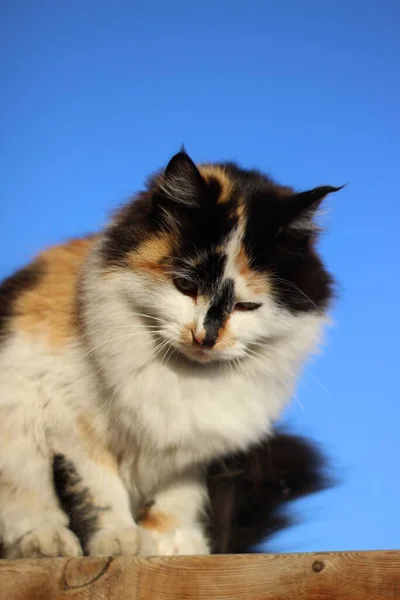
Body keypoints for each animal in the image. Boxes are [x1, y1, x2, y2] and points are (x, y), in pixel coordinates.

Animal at [0, 150, 340, 556]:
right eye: (185, 285)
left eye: (247, 306)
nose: (205, 337)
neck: (183, 379)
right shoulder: (67, 420)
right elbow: (98, 491)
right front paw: (121, 542)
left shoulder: (196, 452)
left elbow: (177, 500)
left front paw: (171, 545)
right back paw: (45, 543)